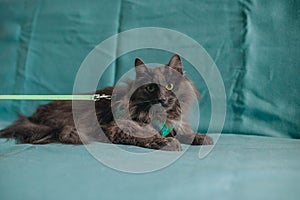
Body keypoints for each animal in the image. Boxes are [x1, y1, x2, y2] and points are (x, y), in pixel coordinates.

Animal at [0, 54, 212, 151]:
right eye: (151, 88)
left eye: (169, 85)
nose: (161, 99)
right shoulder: (117, 128)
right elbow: (148, 135)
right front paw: (167, 142)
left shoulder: (175, 125)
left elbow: (186, 132)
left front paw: (201, 137)